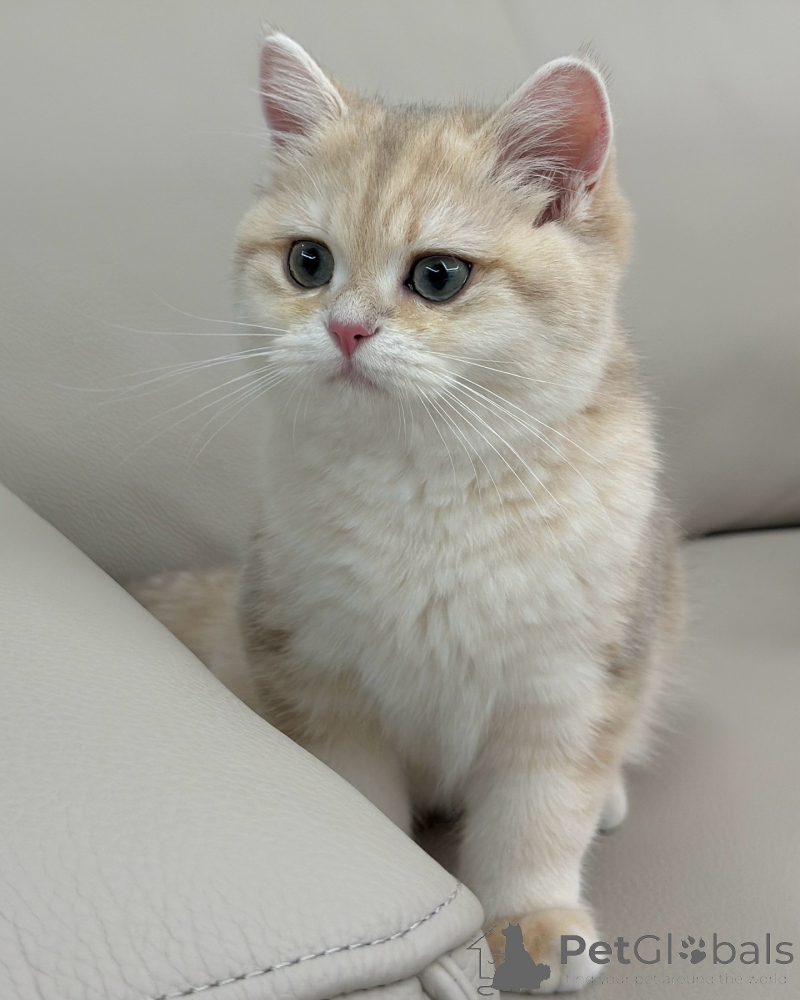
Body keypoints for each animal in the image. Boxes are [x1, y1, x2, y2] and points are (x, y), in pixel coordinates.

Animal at [129, 32, 683, 991]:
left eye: (438, 276)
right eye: (308, 262)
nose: (347, 329)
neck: (427, 486)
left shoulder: (569, 687)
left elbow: (539, 819)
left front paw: (531, 921)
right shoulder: (317, 676)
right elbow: (361, 801)